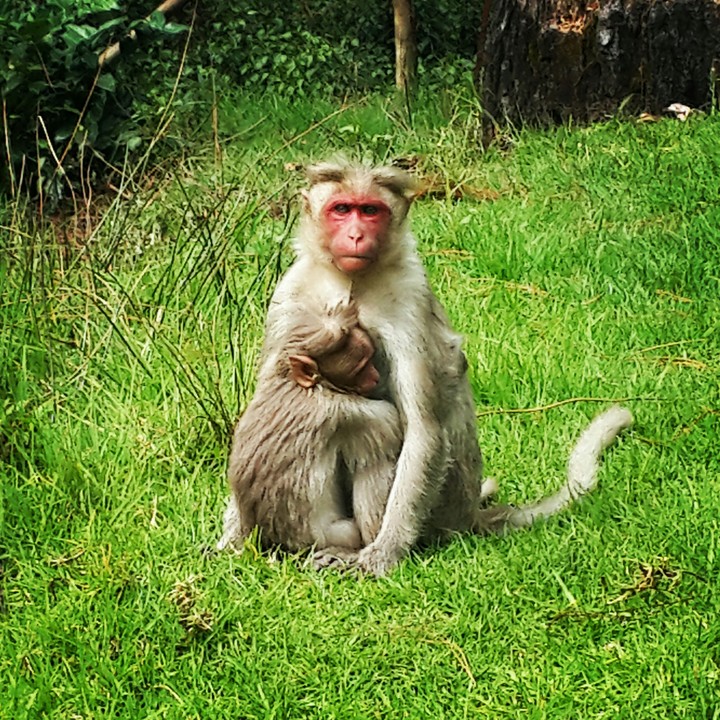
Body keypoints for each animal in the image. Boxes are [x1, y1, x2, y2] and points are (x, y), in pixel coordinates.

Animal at [219, 159, 633, 576]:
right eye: (341, 209)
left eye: (370, 211)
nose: (355, 234)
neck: (350, 282)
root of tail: (468, 514)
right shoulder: (290, 293)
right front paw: (233, 538)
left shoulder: (409, 297)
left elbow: (423, 428)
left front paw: (383, 553)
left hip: (444, 502)